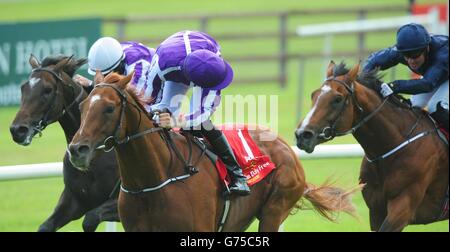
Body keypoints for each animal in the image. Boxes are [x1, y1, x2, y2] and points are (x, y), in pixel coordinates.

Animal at [9, 54, 120, 231]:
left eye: (47, 90)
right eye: (23, 88)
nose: (17, 130)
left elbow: (90, 219)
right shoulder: (74, 201)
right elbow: (45, 226)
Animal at [68, 71, 360, 232]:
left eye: (108, 108)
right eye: (82, 107)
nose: (77, 149)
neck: (154, 179)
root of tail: (286, 146)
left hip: (275, 209)